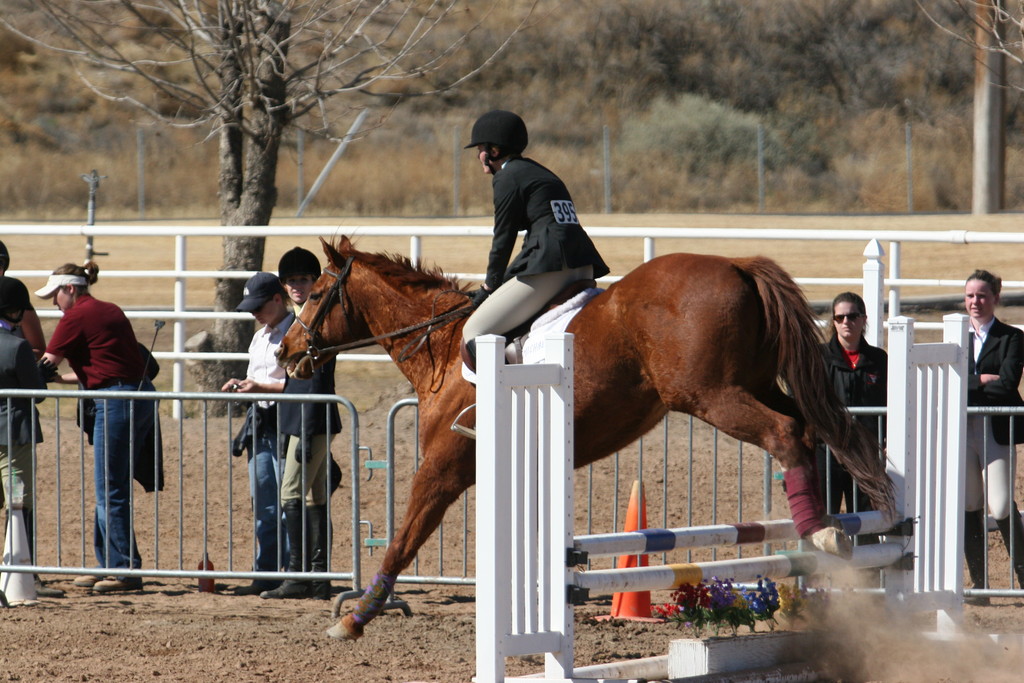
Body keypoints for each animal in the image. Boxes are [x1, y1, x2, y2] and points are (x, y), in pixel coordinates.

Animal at [276, 236, 892, 643]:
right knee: (821, 429)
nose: (285, 352)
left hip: (711, 395)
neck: (442, 347)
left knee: (787, 432)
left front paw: (355, 618)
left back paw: (822, 534)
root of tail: (737, 265)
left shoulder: (442, 471)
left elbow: (403, 541)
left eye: (316, 294)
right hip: (755, 383)